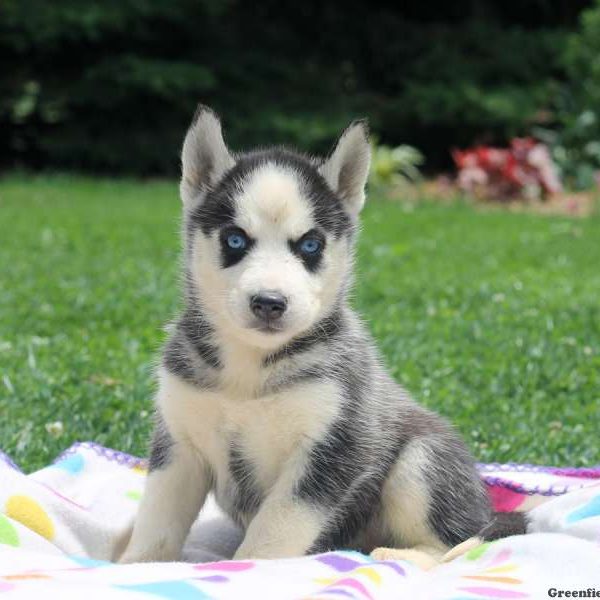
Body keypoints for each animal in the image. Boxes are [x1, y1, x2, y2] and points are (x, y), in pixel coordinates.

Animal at [122, 106, 510, 564]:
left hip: (422, 460)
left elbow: (271, 533)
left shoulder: (332, 448)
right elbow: (156, 521)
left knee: (460, 540)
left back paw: (399, 556)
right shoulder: (180, 445)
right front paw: (129, 566)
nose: (269, 302)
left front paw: (245, 570)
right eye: (234, 239)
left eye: (310, 245)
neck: (251, 371)